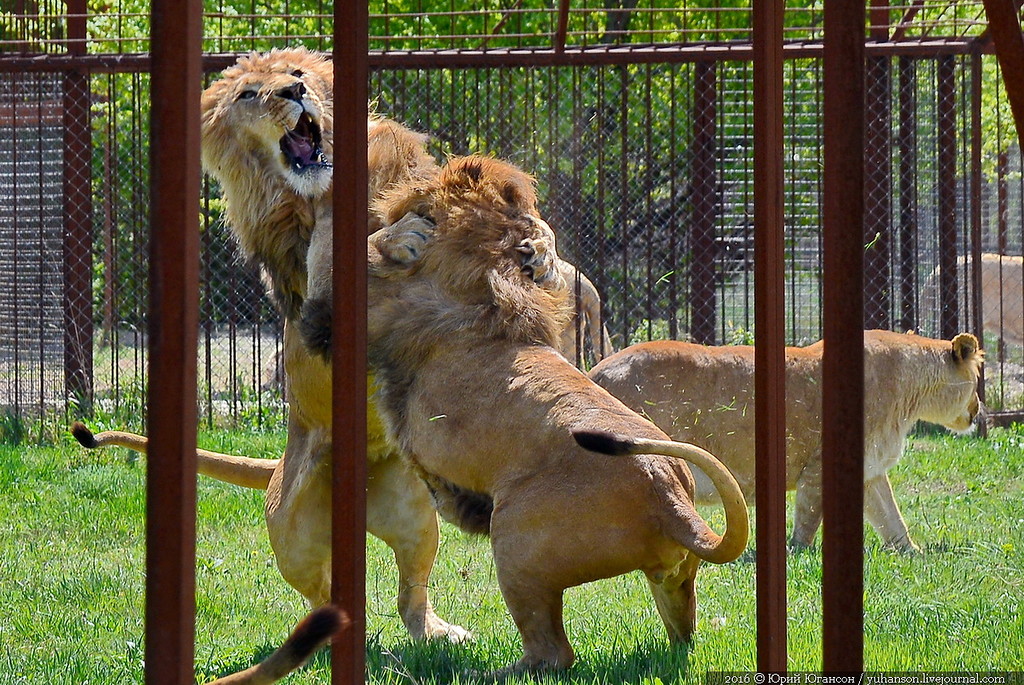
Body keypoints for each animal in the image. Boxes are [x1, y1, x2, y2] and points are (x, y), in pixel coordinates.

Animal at [352, 153, 753, 667]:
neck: (486, 262)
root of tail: (674, 503)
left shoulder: (382, 306)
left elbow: (361, 258)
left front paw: (399, 234)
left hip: (514, 543)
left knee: (552, 652)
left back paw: (491, 670)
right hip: (673, 581)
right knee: (682, 631)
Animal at [585, 327, 983, 552]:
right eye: (979, 379)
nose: (979, 409)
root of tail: (595, 370)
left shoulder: (869, 470)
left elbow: (890, 516)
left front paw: (912, 552)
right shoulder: (819, 468)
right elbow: (809, 518)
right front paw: (799, 554)